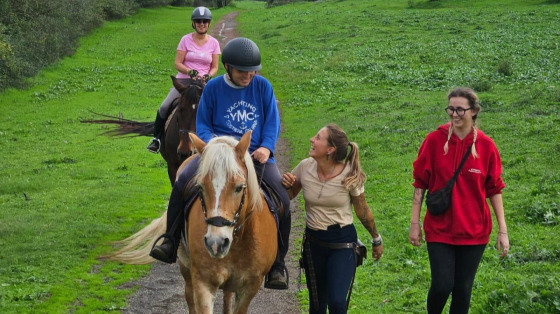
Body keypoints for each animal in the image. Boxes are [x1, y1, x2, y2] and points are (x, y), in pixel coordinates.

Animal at [104, 131, 278, 312]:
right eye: (200, 187)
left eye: (239, 187)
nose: (216, 243)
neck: (238, 242)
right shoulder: (203, 281)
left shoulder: (249, 288)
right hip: (186, 267)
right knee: (189, 295)